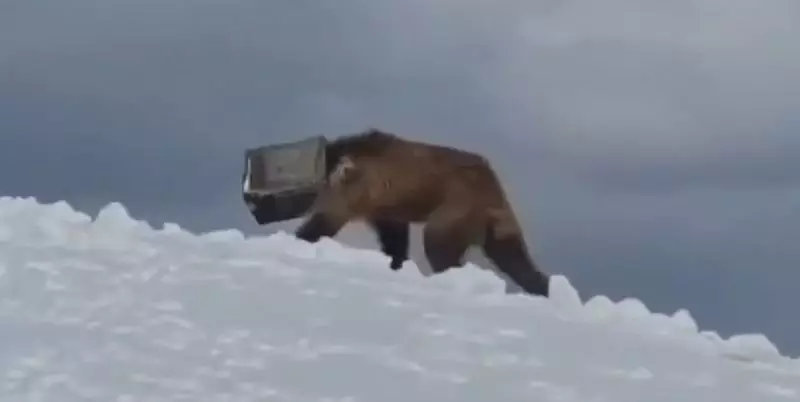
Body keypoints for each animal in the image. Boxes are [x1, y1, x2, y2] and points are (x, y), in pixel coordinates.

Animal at [294, 128, 550, 298]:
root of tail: (496, 189)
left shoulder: (357, 192)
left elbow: (326, 221)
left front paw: (303, 237)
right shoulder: (385, 207)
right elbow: (394, 238)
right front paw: (395, 263)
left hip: (455, 210)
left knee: (440, 246)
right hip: (495, 226)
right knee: (515, 259)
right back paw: (544, 287)